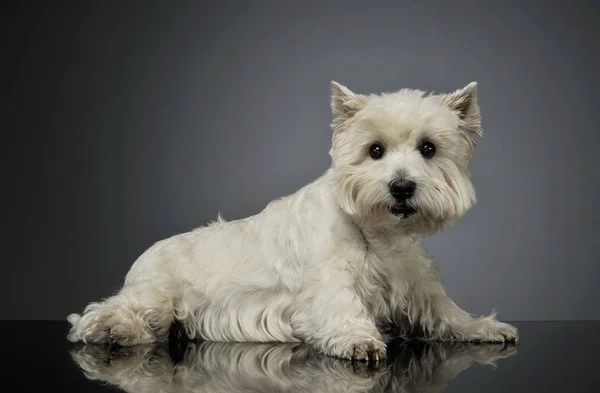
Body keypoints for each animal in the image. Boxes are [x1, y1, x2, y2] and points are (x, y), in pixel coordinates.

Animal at [65, 80, 516, 362]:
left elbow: (446, 312)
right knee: (107, 312)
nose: (402, 187)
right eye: (374, 150)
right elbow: (340, 306)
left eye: (428, 148)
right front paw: (359, 339)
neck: (380, 234)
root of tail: (146, 254)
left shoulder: (416, 284)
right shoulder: (327, 281)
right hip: (157, 293)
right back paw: (113, 329)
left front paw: (483, 326)